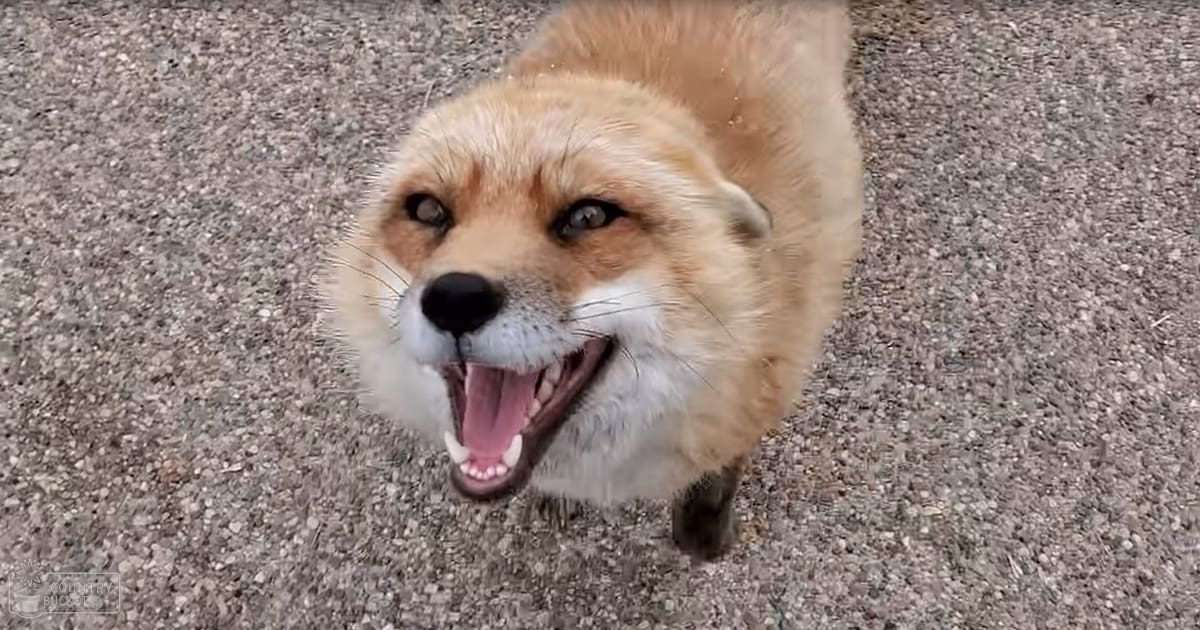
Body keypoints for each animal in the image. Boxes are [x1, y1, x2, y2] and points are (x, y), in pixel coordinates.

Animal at [319, 0, 864, 561]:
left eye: (588, 216)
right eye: (428, 210)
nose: (454, 299)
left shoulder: (757, 394)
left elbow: (713, 489)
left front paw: (706, 536)